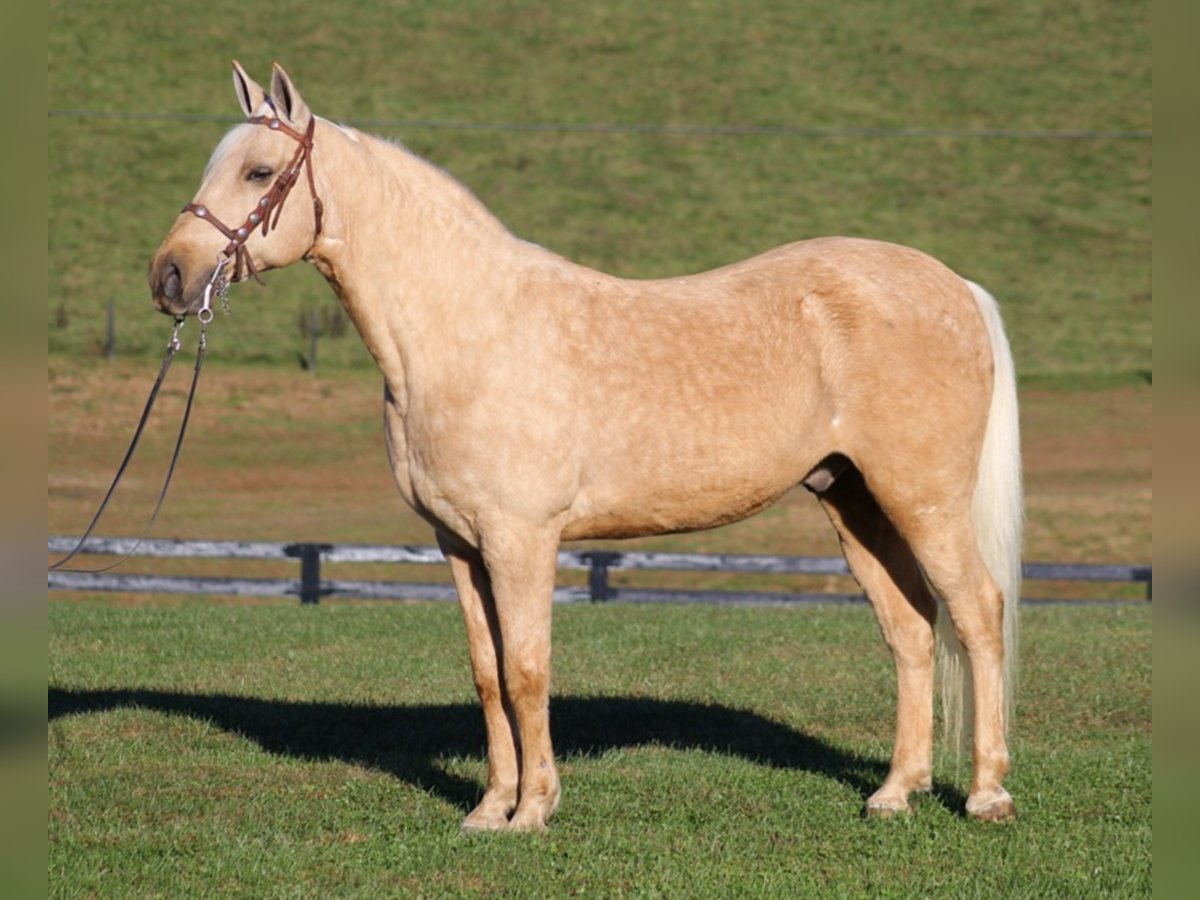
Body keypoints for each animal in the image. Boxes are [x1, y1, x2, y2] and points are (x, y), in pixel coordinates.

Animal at [145, 63, 1017, 835]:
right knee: (911, 630)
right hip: (854, 499)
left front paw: (534, 810)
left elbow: (528, 672)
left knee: (977, 613)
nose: (169, 276)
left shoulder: (522, 540)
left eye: (260, 172)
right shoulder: (459, 543)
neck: (467, 329)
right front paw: (488, 810)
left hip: (922, 499)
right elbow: (487, 673)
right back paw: (894, 794)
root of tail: (956, 287)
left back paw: (986, 795)